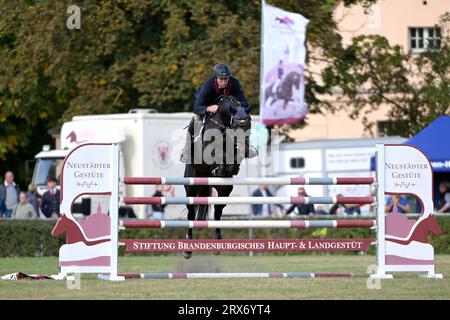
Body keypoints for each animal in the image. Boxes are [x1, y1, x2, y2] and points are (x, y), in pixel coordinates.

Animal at [184, 95, 253, 258]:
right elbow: (215, 152)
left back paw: (217, 244)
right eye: (236, 126)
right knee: (191, 214)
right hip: (191, 187)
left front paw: (232, 166)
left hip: (224, 189)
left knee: (217, 212)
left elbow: (233, 155)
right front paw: (220, 166)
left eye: (249, 125)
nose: (245, 145)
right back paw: (188, 249)